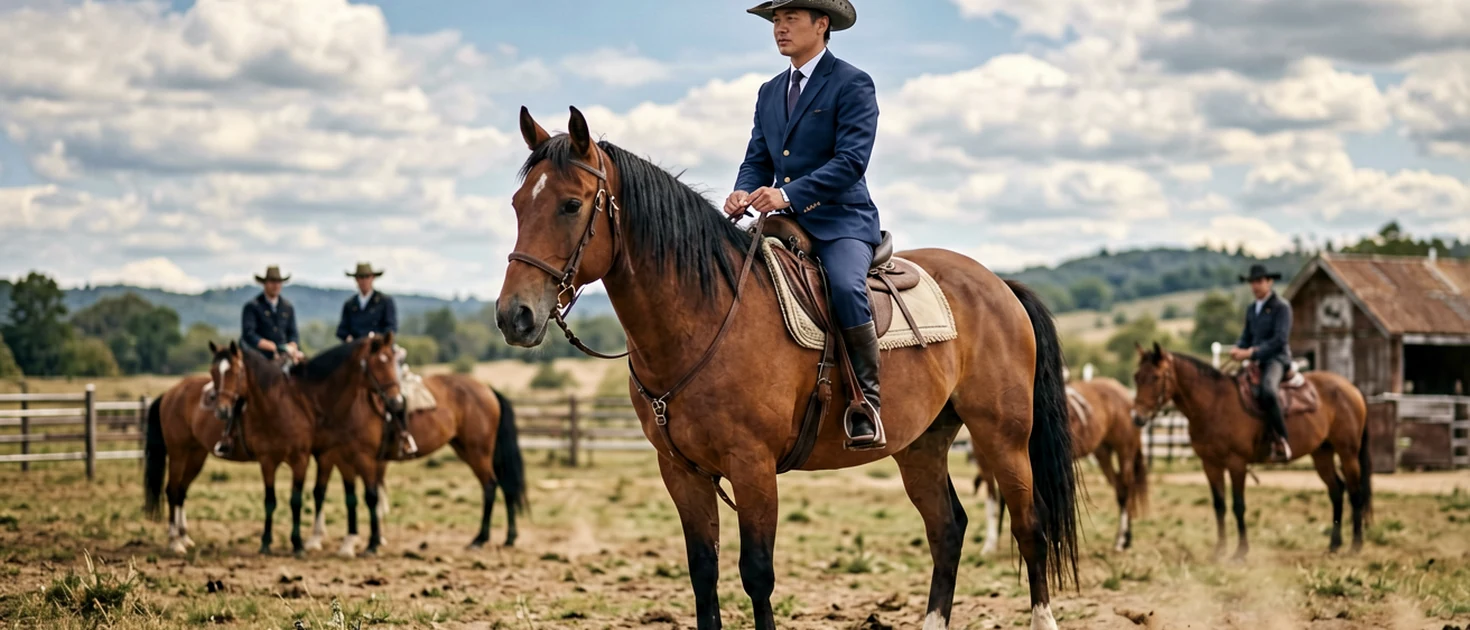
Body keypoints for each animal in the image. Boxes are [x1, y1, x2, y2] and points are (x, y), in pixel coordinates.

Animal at [302, 370, 528, 556]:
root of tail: (488, 389)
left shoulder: (353, 458)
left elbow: (366, 496)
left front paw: (369, 543)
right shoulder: (339, 458)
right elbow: (335, 494)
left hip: (477, 452)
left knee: (490, 486)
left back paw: (480, 539)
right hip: (468, 448)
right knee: (506, 487)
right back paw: (509, 538)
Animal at [494, 106, 1078, 630]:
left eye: (571, 205)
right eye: (519, 205)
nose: (513, 316)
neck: (704, 317)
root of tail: (999, 284)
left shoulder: (752, 468)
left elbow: (757, 575)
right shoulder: (682, 471)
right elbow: (703, 575)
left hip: (1002, 436)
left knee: (1030, 527)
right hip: (922, 444)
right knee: (946, 529)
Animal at [974, 376, 1149, 555]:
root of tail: (1123, 392)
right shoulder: (986, 464)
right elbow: (994, 502)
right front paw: (990, 544)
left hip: (1124, 451)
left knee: (1127, 489)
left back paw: (1122, 540)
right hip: (1103, 453)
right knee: (1120, 489)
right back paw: (1122, 539)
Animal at [1130, 343, 1372, 559]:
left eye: (1155, 377)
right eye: (1136, 377)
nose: (1137, 418)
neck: (1213, 405)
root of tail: (1351, 388)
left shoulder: (1237, 463)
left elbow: (1238, 505)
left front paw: (1240, 551)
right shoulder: (1210, 464)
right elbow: (1219, 506)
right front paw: (1219, 550)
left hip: (1348, 452)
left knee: (1355, 493)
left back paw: (1355, 546)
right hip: (1322, 453)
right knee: (1336, 491)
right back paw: (1334, 545)